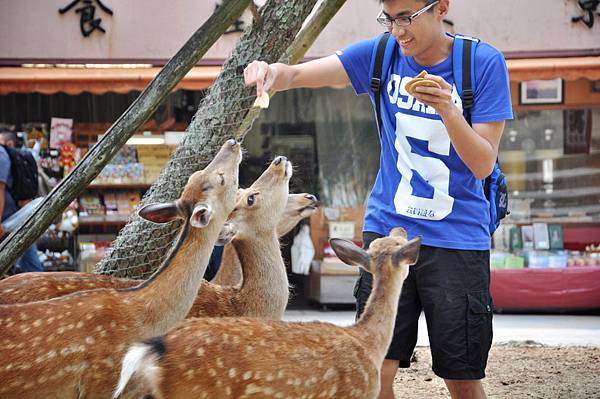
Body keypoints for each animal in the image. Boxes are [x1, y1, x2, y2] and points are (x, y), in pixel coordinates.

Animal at [113, 228, 422, 399]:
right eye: (398, 244)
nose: (401, 228)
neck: (369, 343)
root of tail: (156, 349)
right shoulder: (357, 393)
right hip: (196, 392)